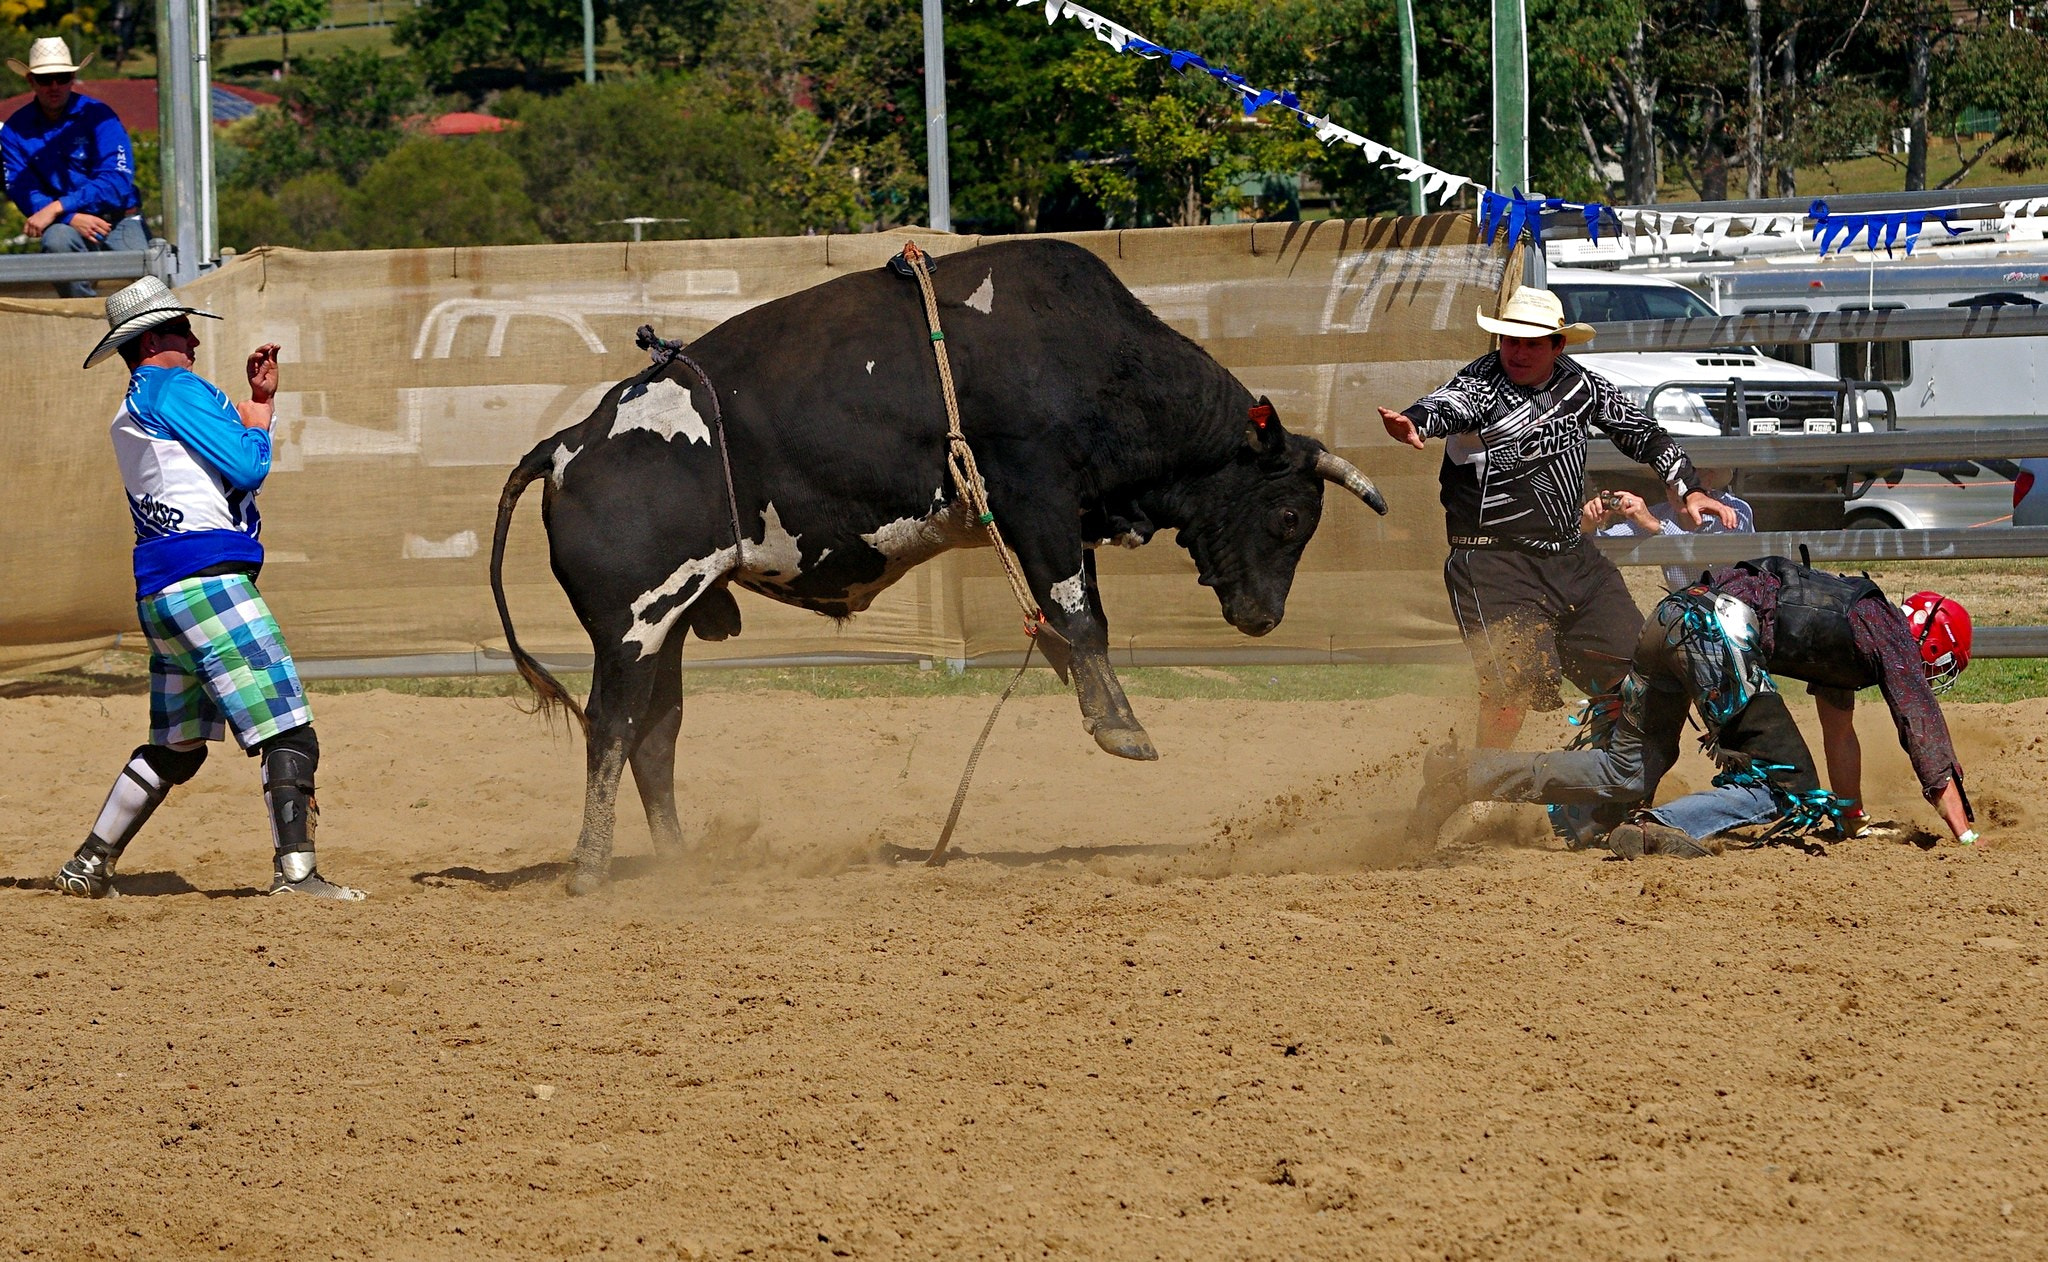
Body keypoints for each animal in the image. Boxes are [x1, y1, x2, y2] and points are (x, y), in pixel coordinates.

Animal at [487, 234, 1384, 889]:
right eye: (1289, 515)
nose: (1263, 616)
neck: (1084, 356)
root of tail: (566, 445)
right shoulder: (1038, 499)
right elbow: (1078, 613)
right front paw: (1120, 727)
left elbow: (1068, 620)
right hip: (631, 623)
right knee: (611, 724)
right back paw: (590, 868)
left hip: (670, 621)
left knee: (656, 734)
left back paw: (679, 864)